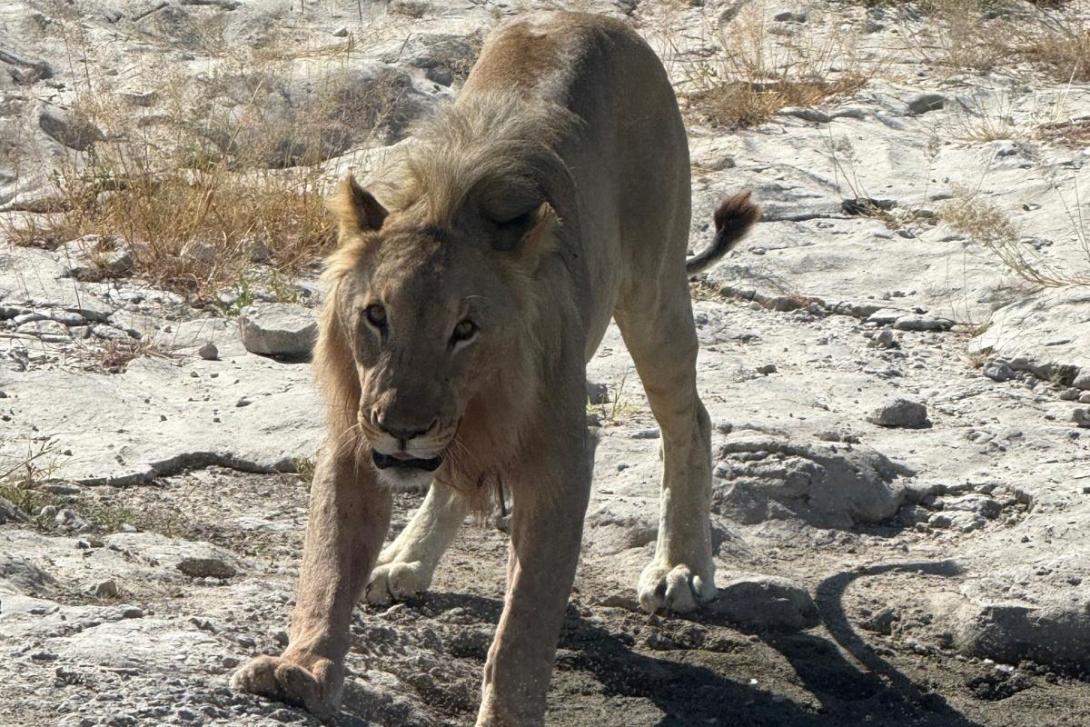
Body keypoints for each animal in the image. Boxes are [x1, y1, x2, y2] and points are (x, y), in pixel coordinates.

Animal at [231, 11, 758, 726]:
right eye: (376, 316)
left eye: (464, 330)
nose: (401, 428)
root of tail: (597, 17)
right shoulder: (353, 434)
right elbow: (327, 566)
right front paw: (299, 670)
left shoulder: (559, 460)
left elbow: (523, 628)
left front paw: (507, 710)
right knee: (454, 477)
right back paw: (405, 560)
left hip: (654, 291)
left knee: (690, 420)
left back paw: (678, 566)